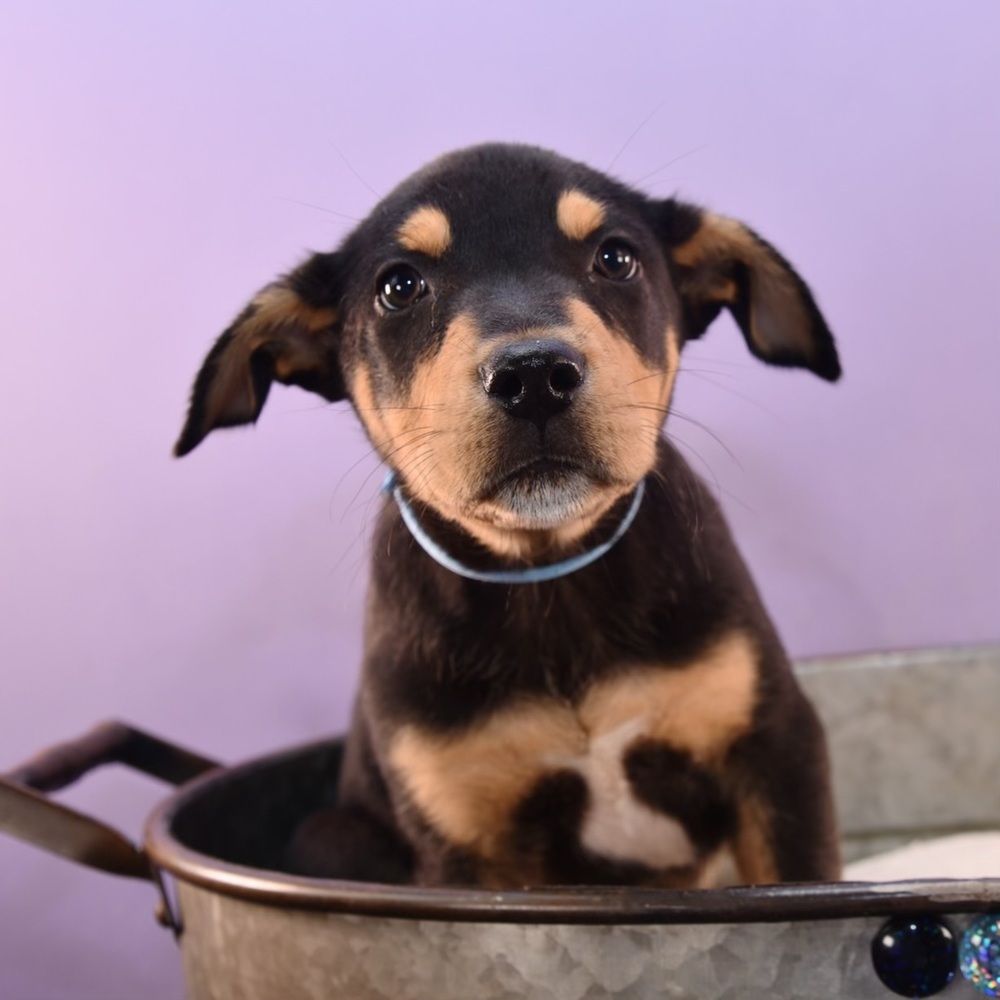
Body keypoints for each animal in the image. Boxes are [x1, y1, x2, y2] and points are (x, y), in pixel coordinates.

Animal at [176, 145, 840, 888]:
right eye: (399, 287)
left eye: (615, 258)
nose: (535, 377)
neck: (549, 572)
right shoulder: (464, 836)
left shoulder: (775, 748)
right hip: (331, 834)